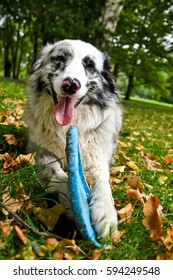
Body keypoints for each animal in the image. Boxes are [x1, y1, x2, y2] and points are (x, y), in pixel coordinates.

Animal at [23, 39, 122, 240]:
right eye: (60, 58)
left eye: (90, 65)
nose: (71, 85)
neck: (69, 126)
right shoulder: (41, 154)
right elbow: (60, 175)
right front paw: (76, 205)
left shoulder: (96, 159)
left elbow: (103, 183)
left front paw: (106, 213)